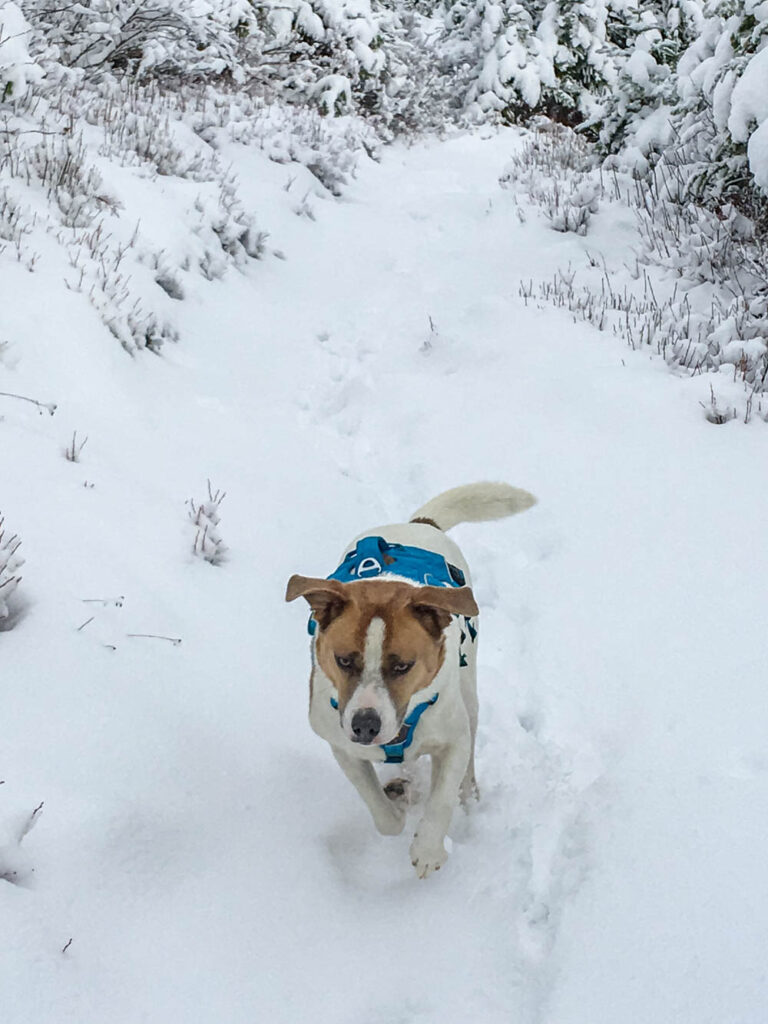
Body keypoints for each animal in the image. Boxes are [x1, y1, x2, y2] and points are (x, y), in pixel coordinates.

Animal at [286, 483, 536, 876]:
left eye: (403, 666)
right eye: (344, 660)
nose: (365, 725)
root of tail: (420, 524)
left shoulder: (452, 738)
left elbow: (442, 796)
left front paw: (429, 849)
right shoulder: (342, 745)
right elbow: (379, 810)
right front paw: (395, 808)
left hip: (469, 690)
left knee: (469, 751)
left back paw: (467, 792)